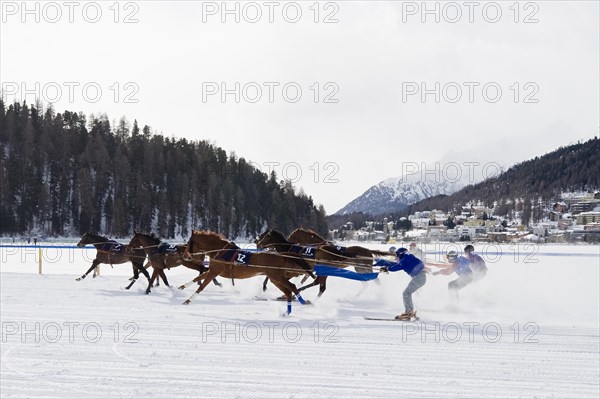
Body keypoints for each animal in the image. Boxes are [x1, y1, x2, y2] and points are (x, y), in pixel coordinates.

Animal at [180, 231, 316, 316]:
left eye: (189, 242)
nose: (185, 256)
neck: (220, 251)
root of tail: (282, 255)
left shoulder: (214, 271)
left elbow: (202, 286)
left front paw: (188, 300)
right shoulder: (213, 271)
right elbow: (197, 277)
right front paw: (180, 287)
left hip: (277, 277)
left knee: (292, 287)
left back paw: (302, 302)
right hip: (275, 279)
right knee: (288, 291)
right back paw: (287, 311)